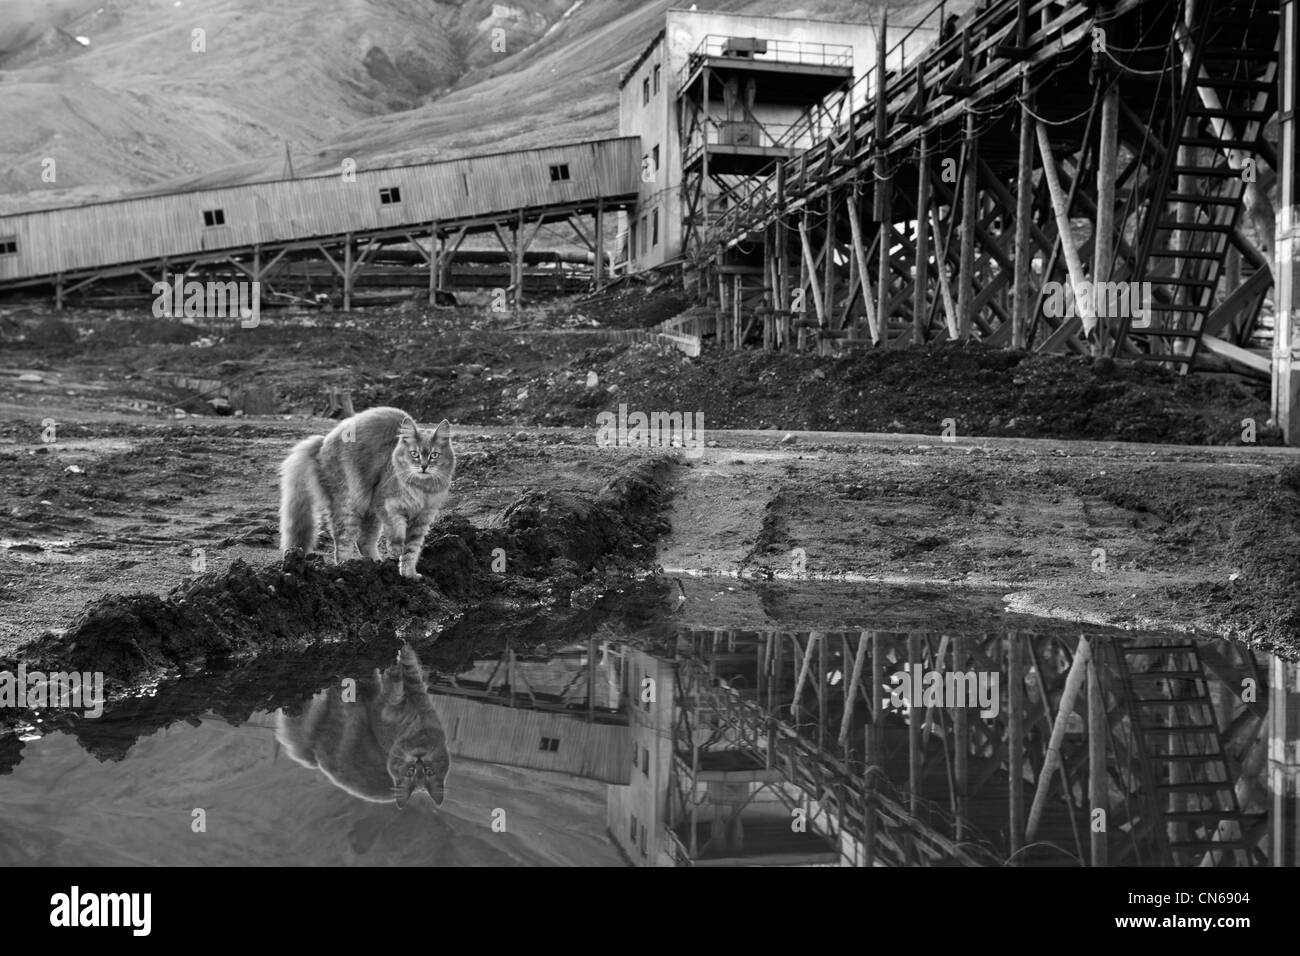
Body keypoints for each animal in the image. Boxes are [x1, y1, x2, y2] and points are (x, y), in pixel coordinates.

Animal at [275, 642, 452, 806]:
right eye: (412, 772)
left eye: (427, 772)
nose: (418, 762)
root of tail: (314, 757)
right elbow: (410, 673)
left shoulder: (388, 707)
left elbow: (403, 678)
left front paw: (399, 662)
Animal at [276, 405, 454, 580]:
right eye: (414, 454)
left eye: (434, 455)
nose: (424, 467)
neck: (422, 488)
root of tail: (322, 442)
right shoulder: (386, 504)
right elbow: (396, 530)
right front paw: (395, 549)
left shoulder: (422, 519)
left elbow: (411, 551)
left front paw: (409, 575)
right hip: (348, 503)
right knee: (342, 542)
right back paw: (346, 568)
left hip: (369, 512)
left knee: (363, 541)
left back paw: (375, 564)